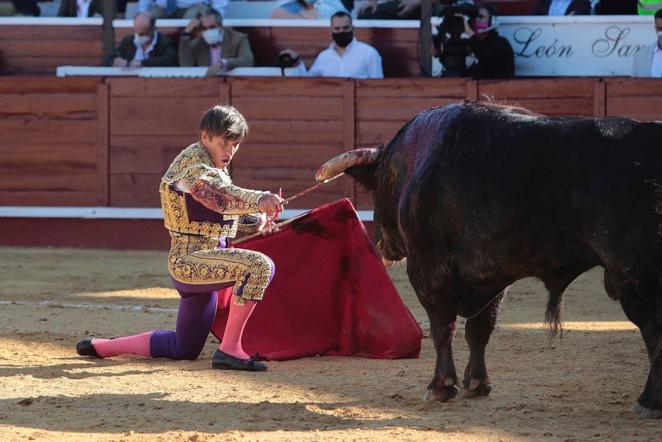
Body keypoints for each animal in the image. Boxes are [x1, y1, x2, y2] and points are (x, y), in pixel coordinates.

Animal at [316, 102, 662, 420]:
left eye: (375, 188)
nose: (381, 245)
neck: (411, 161)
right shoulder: (490, 273)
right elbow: (480, 327)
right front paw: (477, 384)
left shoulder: (428, 271)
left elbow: (443, 327)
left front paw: (440, 387)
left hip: (636, 275)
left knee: (653, 331)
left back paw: (648, 402)